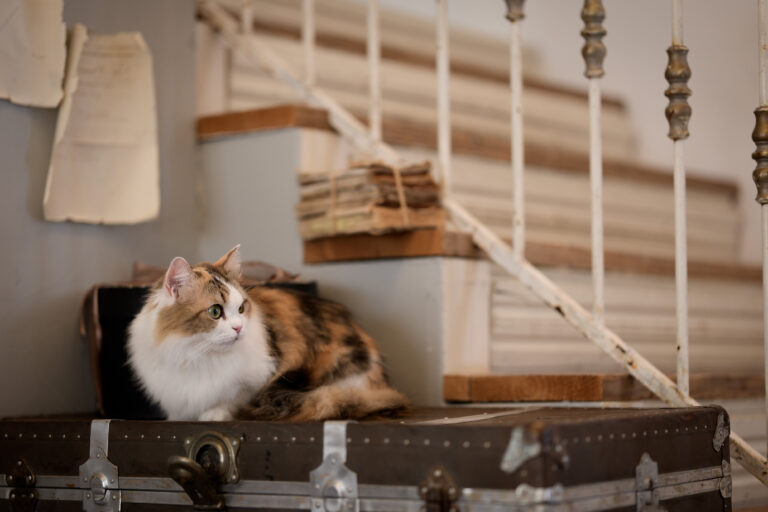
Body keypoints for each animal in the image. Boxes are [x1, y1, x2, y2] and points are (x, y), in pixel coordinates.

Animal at [127, 245, 408, 421]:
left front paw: (212, 414)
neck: (194, 353)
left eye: (241, 308)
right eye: (215, 312)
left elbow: (230, 399)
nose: (239, 327)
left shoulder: (257, 379)